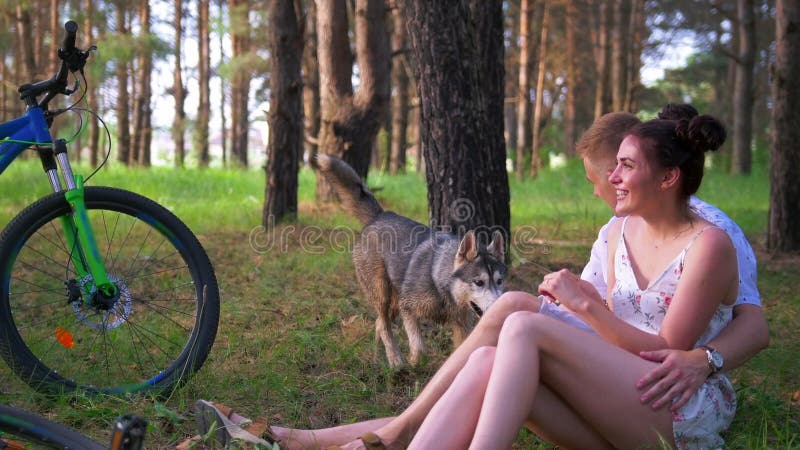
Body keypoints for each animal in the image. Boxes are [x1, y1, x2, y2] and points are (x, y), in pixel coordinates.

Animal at [314, 154, 506, 366]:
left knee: (379, 324)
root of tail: (380, 215)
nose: (501, 305)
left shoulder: (462, 325)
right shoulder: (408, 308)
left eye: (499, 281)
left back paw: (379, 357)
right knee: (383, 325)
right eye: (479, 282)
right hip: (383, 294)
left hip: (392, 303)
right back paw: (395, 360)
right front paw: (414, 361)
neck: (440, 280)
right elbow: (419, 347)